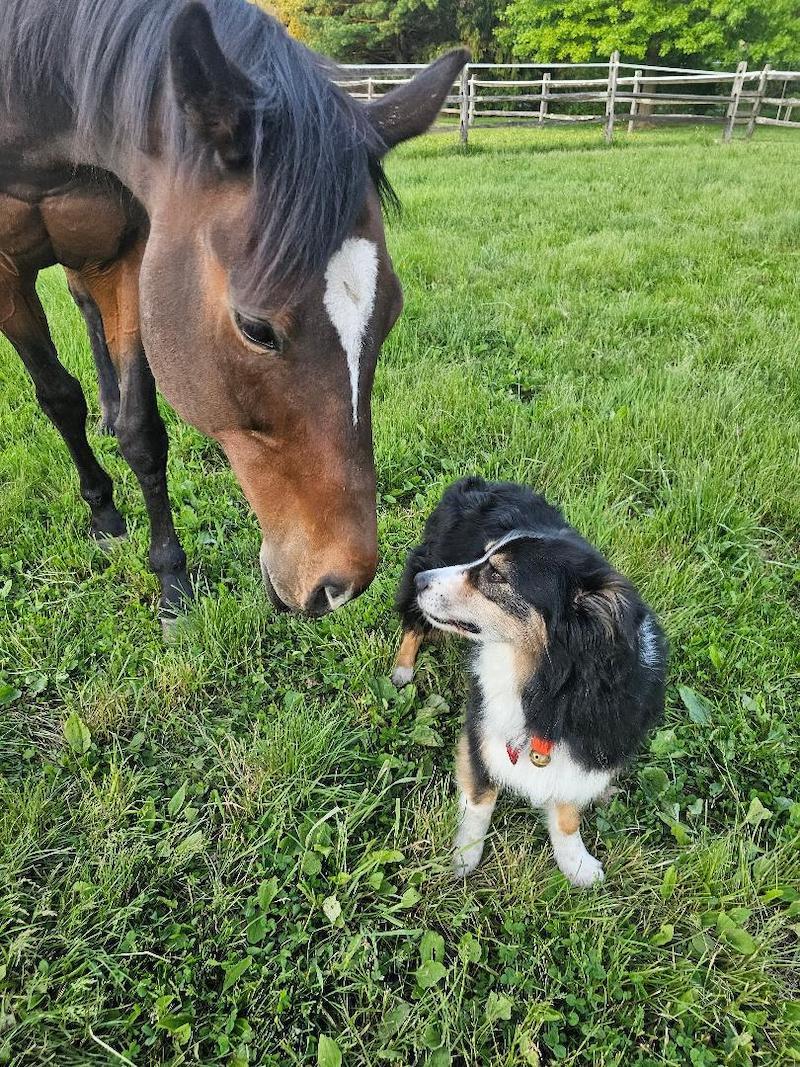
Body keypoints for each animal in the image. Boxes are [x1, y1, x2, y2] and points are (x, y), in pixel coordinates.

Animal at [0, 0, 467, 622]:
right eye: (256, 328)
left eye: (389, 313)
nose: (343, 583)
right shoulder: (6, 273)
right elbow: (58, 398)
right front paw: (105, 515)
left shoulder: (130, 254)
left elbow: (141, 431)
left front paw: (170, 578)